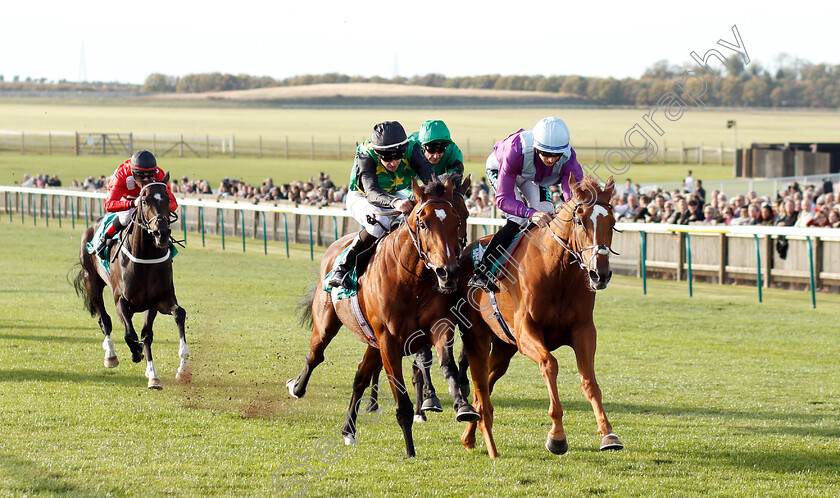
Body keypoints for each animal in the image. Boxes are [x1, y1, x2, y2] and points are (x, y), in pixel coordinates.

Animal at [72, 177, 190, 392]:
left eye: (168, 198)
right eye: (143, 200)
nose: (162, 233)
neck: (145, 258)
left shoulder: (158, 301)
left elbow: (172, 318)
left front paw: (176, 371)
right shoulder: (121, 301)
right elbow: (129, 334)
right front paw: (136, 352)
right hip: (91, 281)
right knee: (104, 320)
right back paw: (110, 355)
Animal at [288, 177, 480, 458]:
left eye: (458, 219)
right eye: (423, 223)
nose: (449, 272)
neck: (412, 280)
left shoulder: (438, 326)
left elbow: (447, 364)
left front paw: (462, 405)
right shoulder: (390, 341)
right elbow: (402, 399)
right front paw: (410, 450)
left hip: (372, 341)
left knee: (359, 378)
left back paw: (349, 430)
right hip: (327, 322)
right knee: (315, 355)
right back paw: (297, 387)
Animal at [456, 175, 620, 460]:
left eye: (611, 221)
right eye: (580, 220)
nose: (600, 274)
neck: (558, 272)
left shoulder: (584, 330)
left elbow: (589, 381)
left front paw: (608, 434)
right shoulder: (526, 333)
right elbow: (550, 364)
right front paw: (557, 436)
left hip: (504, 347)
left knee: (485, 385)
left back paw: (470, 435)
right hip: (478, 337)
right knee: (481, 387)